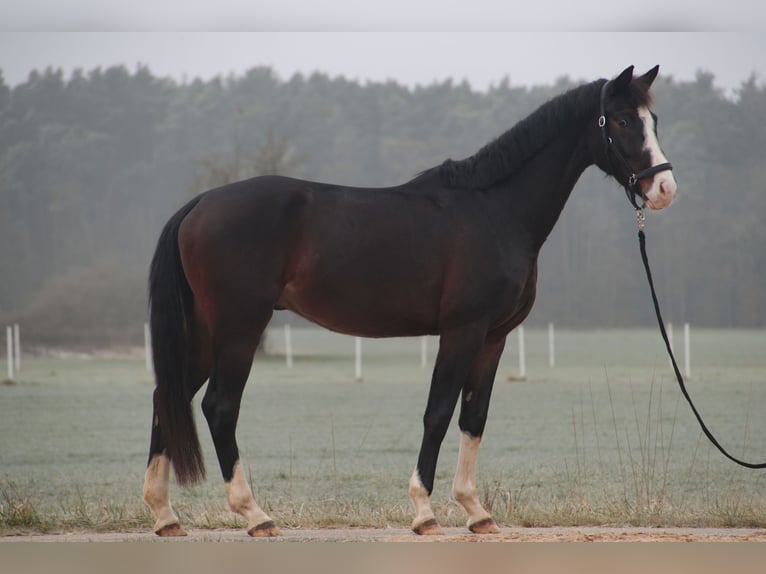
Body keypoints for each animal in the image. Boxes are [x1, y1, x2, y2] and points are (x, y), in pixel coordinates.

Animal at [142, 65, 680, 536]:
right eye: (624, 120)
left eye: (653, 119)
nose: (664, 187)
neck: (494, 210)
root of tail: (199, 205)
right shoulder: (461, 331)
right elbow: (438, 412)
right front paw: (424, 513)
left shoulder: (494, 337)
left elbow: (473, 418)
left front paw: (476, 512)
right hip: (240, 328)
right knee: (219, 406)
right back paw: (255, 515)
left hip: (205, 332)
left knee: (168, 396)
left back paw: (165, 516)